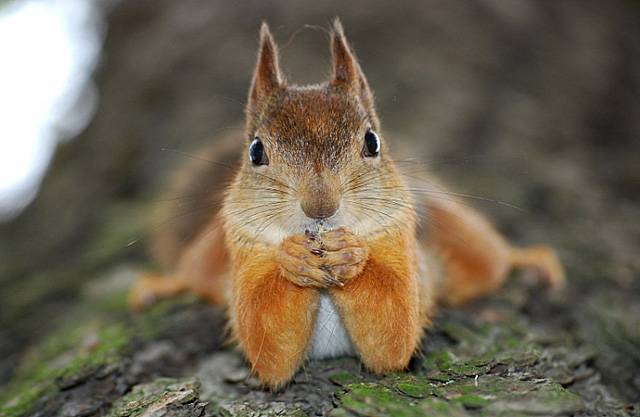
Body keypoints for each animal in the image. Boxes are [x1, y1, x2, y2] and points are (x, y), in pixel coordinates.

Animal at [131, 19, 564, 388]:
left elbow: (394, 331)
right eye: (255, 151)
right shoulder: (244, 247)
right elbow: (267, 345)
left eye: (372, 142)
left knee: (490, 260)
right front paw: (293, 259)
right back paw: (161, 285)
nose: (320, 206)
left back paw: (529, 259)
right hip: (210, 253)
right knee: (194, 273)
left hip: (455, 232)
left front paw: (351, 254)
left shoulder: (401, 244)